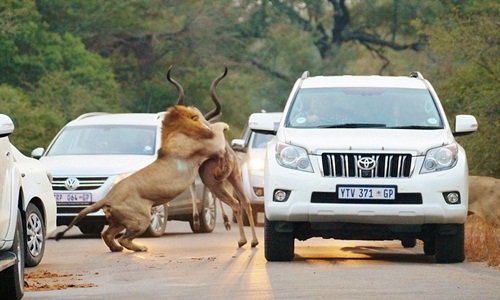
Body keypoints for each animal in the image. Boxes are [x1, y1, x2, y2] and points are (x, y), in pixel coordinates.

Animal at [55, 104, 229, 252]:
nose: (206, 123)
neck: (175, 131)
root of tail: (108, 197)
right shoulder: (212, 145)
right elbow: (219, 131)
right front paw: (224, 125)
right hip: (141, 218)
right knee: (123, 239)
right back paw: (139, 248)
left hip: (120, 220)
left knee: (107, 234)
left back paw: (116, 248)